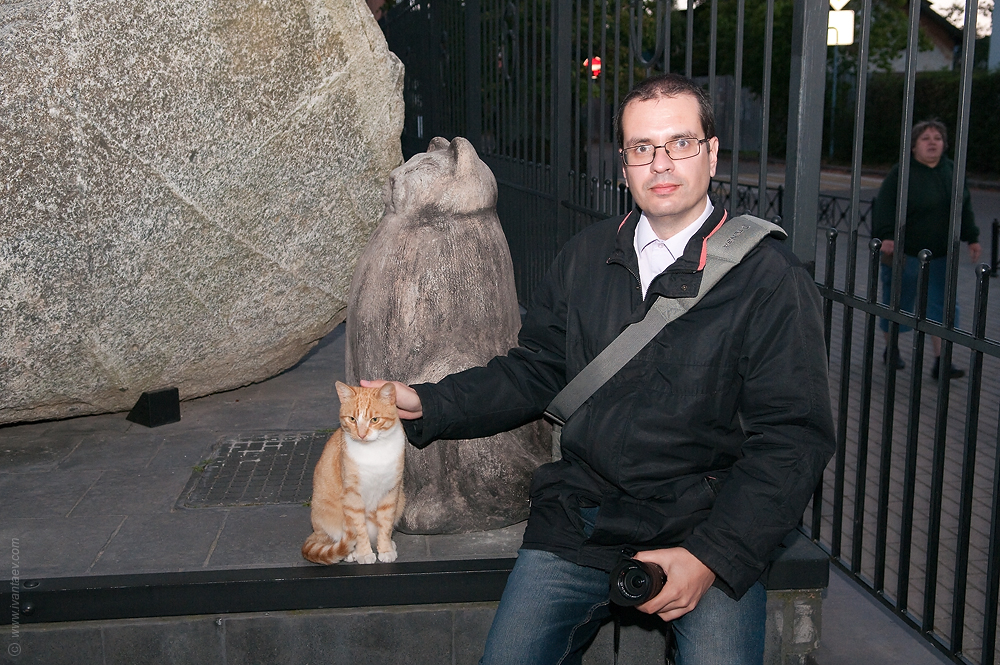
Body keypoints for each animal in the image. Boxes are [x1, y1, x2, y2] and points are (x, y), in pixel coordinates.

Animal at [302, 381, 406, 565]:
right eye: (352, 419)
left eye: (374, 420)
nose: (362, 434)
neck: (374, 450)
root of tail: (316, 532)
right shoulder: (353, 496)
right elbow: (359, 530)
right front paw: (363, 553)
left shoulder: (391, 492)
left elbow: (385, 526)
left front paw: (385, 549)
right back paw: (350, 553)